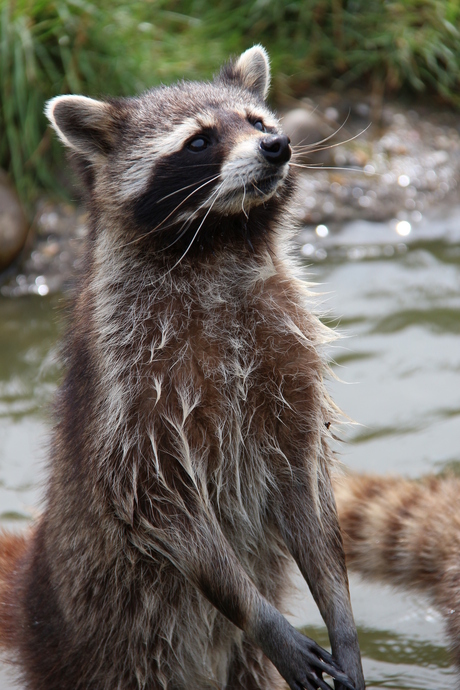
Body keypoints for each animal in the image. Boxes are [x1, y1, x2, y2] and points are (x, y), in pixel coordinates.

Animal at [0, 44, 366, 688]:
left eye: (258, 122)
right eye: (199, 141)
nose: (278, 146)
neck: (220, 241)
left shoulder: (286, 353)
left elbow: (304, 476)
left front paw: (339, 612)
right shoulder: (131, 380)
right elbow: (153, 494)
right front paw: (258, 613)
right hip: (110, 644)